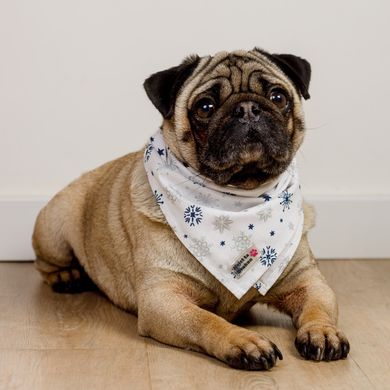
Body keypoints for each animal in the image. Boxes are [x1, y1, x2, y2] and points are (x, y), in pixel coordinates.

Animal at [32, 48, 350, 368]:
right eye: (205, 107)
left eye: (278, 97)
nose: (247, 108)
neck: (237, 199)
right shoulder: (163, 299)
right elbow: (206, 321)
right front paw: (244, 341)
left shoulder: (306, 281)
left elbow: (318, 308)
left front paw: (322, 332)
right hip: (54, 228)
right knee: (45, 264)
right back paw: (67, 276)